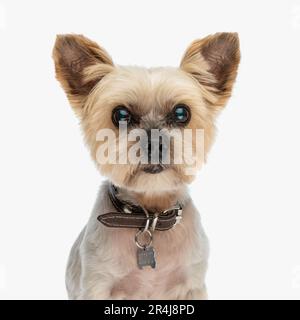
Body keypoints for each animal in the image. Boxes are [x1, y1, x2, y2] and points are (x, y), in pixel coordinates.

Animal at [52, 31, 240, 298]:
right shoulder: (97, 283)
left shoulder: (192, 284)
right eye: (120, 114)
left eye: (182, 113)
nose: (155, 143)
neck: (149, 219)